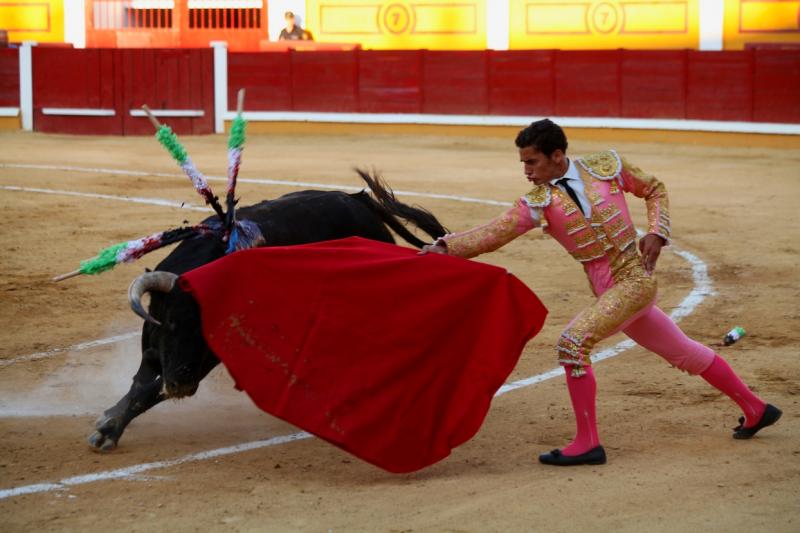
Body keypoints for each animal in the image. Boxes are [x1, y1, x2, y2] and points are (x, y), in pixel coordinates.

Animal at [90, 172, 450, 450]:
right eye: (170, 323)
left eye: (203, 329)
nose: (181, 384)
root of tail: (357, 201)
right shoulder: (154, 346)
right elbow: (140, 385)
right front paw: (110, 421)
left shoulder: (208, 356)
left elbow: (148, 390)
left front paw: (107, 428)